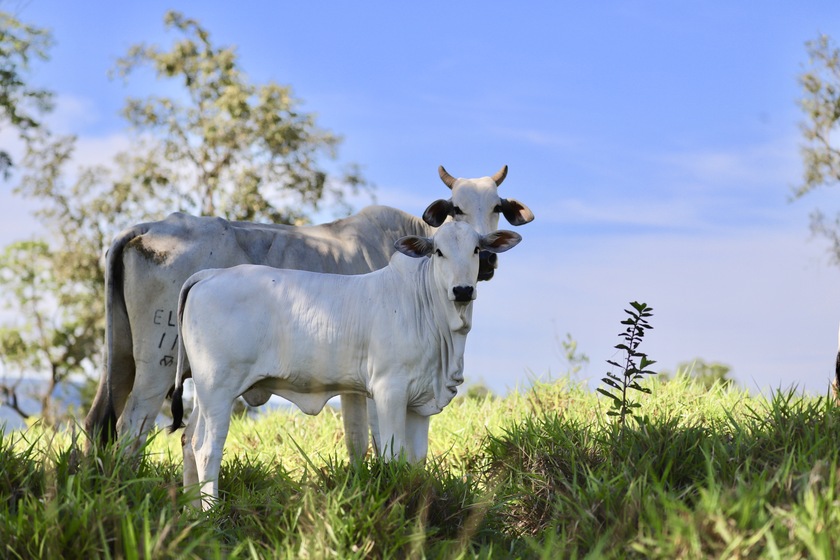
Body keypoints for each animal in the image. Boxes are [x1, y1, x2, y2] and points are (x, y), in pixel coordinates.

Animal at [83, 164, 532, 458]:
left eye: (497, 207)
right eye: (455, 209)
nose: (487, 260)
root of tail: (146, 227)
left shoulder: (355, 385)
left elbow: (358, 443)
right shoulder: (377, 384)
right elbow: (370, 442)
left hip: (120, 360)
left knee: (98, 426)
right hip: (158, 364)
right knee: (132, 428)